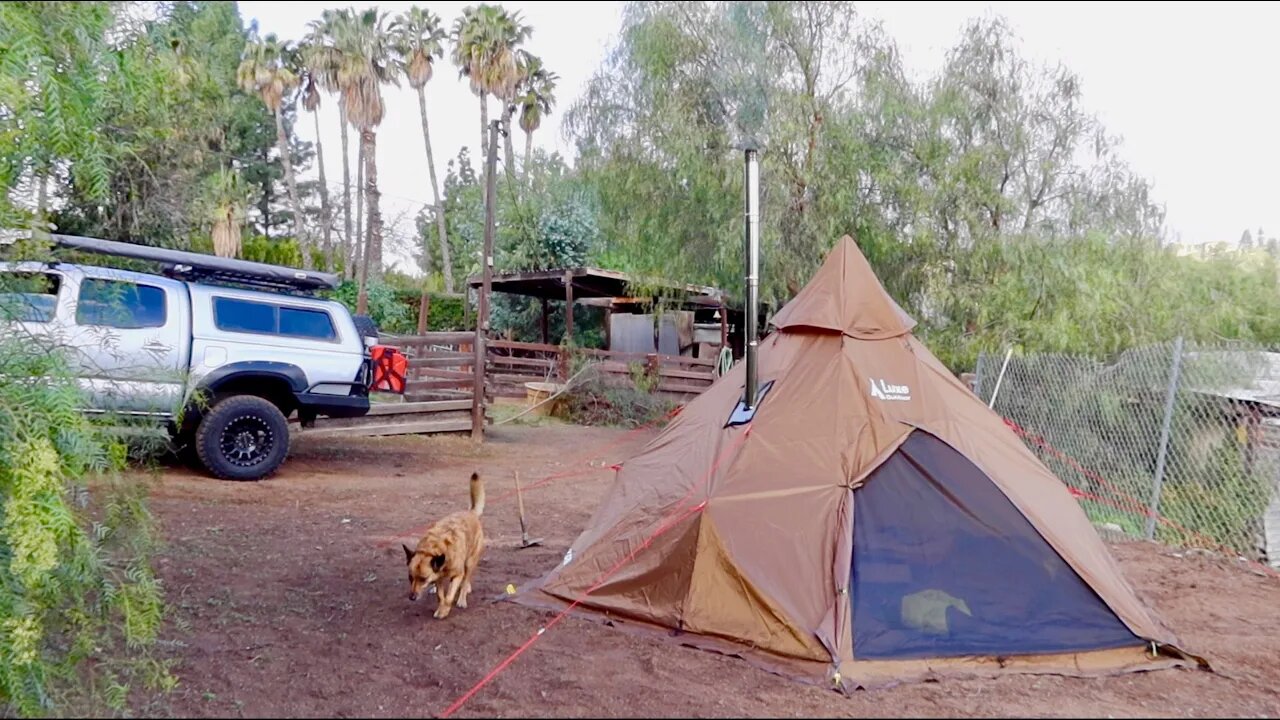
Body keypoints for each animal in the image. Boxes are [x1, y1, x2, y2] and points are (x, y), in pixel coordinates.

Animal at [399, 471, 483, 617]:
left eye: (423, 579)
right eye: (410, 577)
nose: (412, 597)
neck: (435, 548)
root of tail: (470, 512)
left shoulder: (457, 575)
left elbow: (449, 596)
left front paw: (444, 611)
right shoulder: (438, 577)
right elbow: (440, 596)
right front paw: (441, 607)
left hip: (470, 561)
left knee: (466, 578)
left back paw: (462, 597)